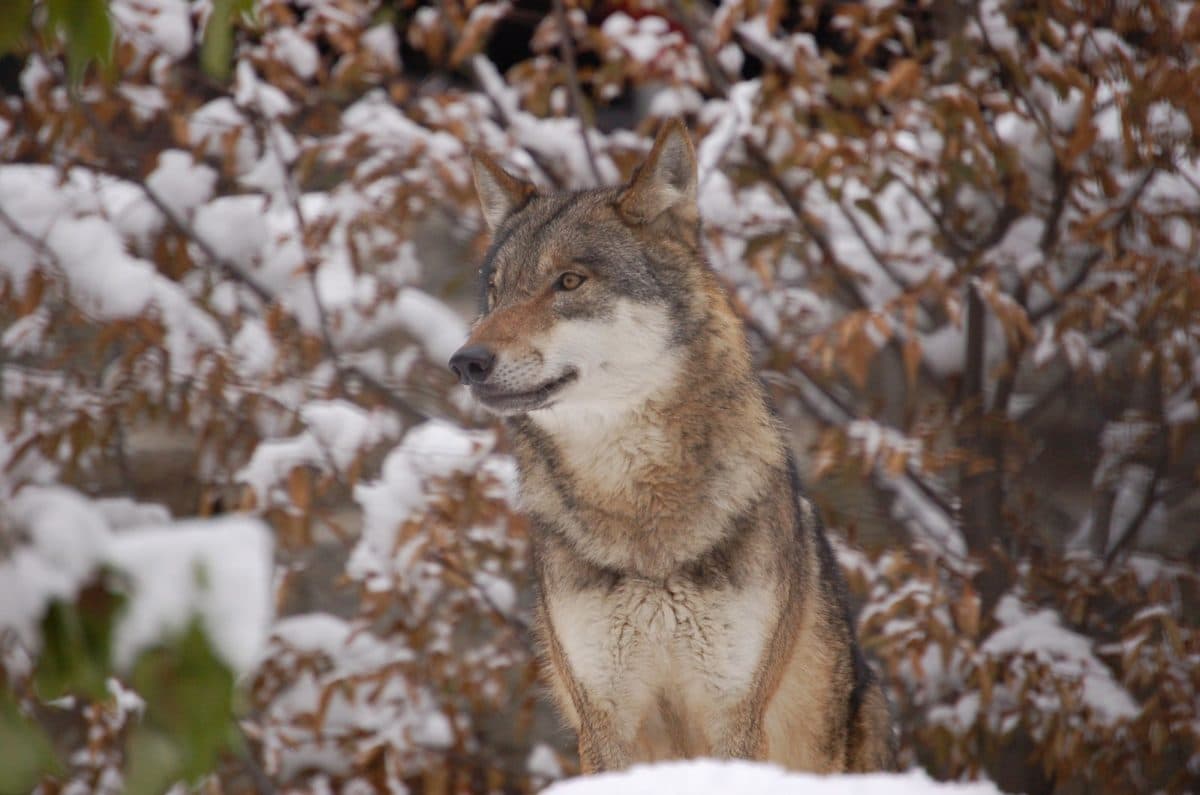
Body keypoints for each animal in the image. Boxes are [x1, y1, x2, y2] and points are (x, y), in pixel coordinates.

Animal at [448, 119, 896, 773]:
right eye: (496, 293)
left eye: (569, 281)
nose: (465, 362)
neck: (643, 525)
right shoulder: (605, 719)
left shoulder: (734, 713)